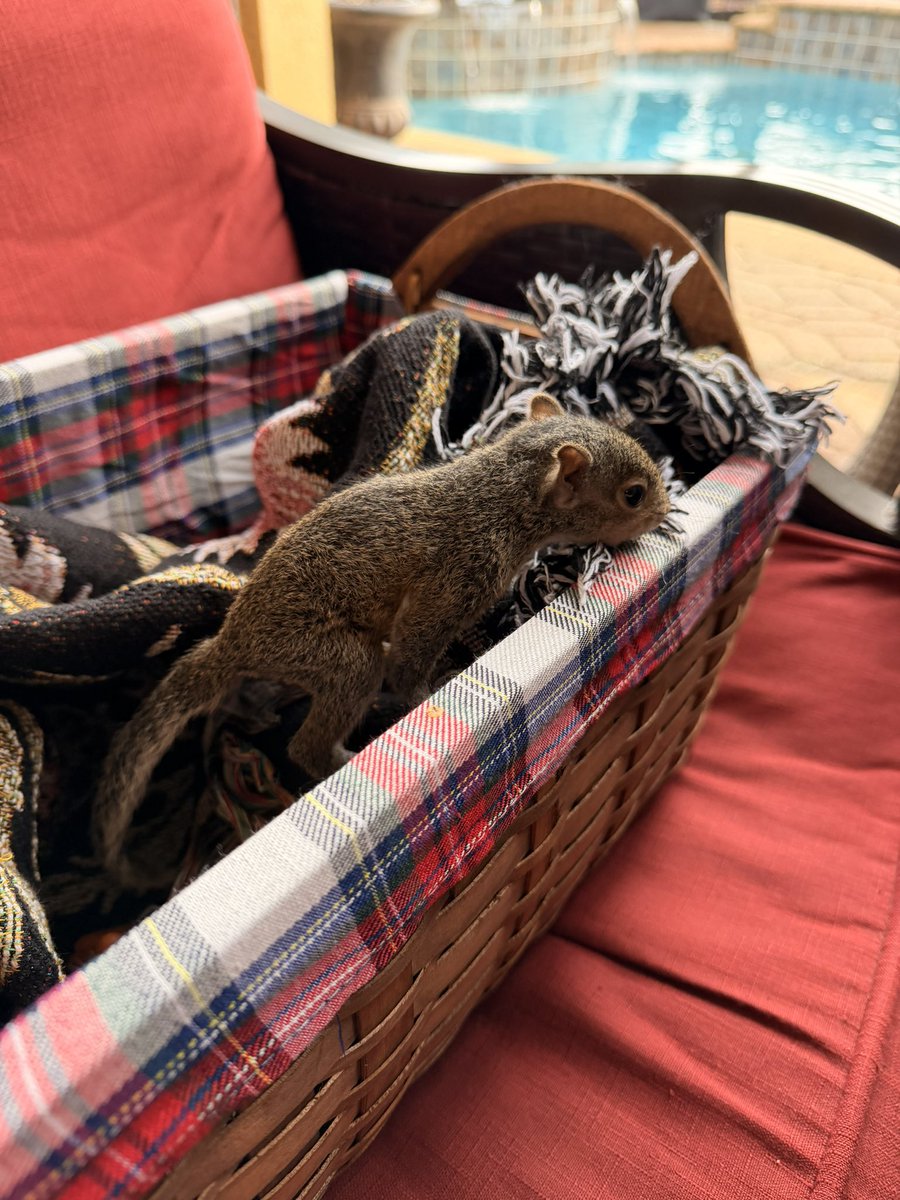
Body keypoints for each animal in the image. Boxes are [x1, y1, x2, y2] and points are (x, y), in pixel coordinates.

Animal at [93, 393, 670, 882]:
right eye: (633, 494)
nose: (665, 514)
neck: (502, 495)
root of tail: (235, 640)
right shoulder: (458, 577)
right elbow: (415, 649)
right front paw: (425, 691)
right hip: (329, 654)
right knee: (312, 737)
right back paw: (342, 756)